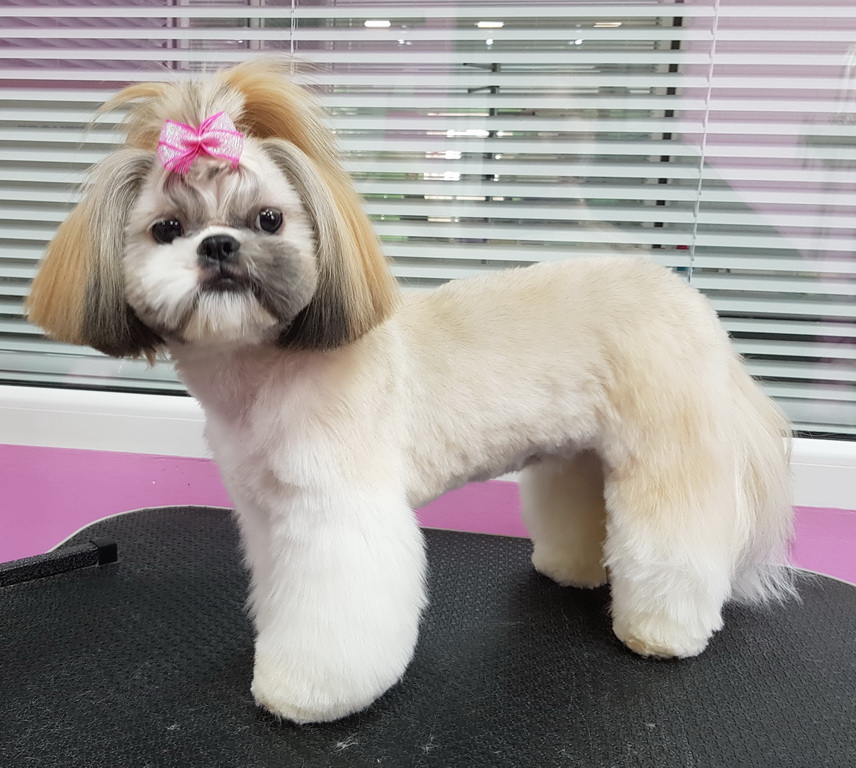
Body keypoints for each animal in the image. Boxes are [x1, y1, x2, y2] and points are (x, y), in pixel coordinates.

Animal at [27, 59, 794, 724]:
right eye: (167, 229)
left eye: (269, 219)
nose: (218, 245)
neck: (264, 373)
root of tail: (689, 303)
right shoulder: (271, 514)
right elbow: (280, 591)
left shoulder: (338, 513)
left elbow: (336, 613)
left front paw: (305, 692)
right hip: (581, 451)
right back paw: (572, 569)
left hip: (667, 451)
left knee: (677, 540)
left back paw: (662, 629)